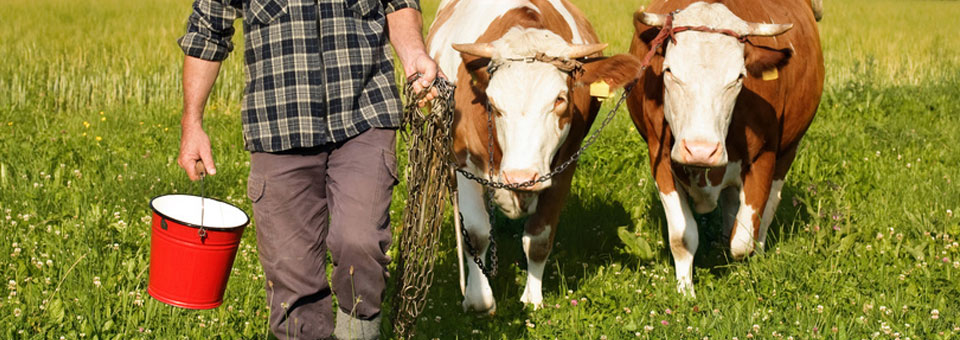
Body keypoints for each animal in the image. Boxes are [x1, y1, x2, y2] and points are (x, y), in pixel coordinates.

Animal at [426, 0, 636, 312]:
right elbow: (476, 233)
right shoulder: (464, 162)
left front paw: (532, 298)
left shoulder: (563, 167)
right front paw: (478, 299)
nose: (520, 176)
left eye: (560, 99)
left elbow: (539, 238)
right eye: (493, 103)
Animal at [632, 0, 824, 298]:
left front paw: (745, 268)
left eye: (738, 77)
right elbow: (682, 238)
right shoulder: (660, 156)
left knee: (766, 213)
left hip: (788, 150)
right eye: (670, 71)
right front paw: (685, 292)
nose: (700, 150)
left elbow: (743, 240)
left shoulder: (764, 157)